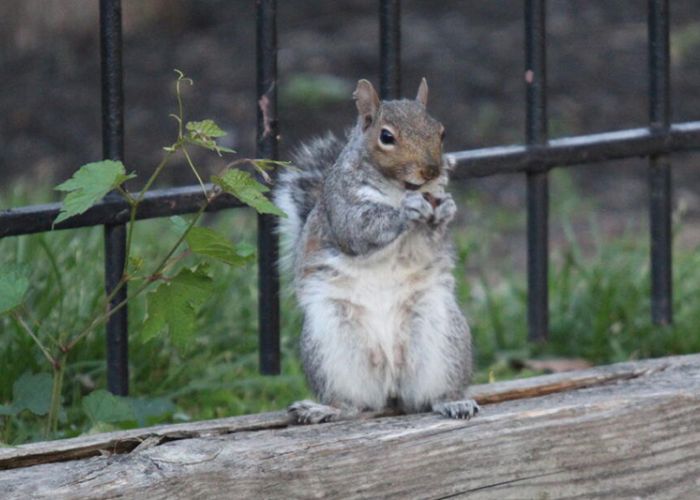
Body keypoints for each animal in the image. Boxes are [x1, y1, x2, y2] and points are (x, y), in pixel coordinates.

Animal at [274, 78, 479, 424]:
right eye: (386, 137)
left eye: (441, 132)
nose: (432, 170)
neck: (399, 188)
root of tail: (391, 379)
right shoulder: (342, 205)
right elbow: (359, 230)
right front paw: (406, 212)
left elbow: (433, 238)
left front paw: (447, 209)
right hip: (331, 343)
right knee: (354, 405)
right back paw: (323, 409)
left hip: (441, 335)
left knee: (429, 396)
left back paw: (453, 402)